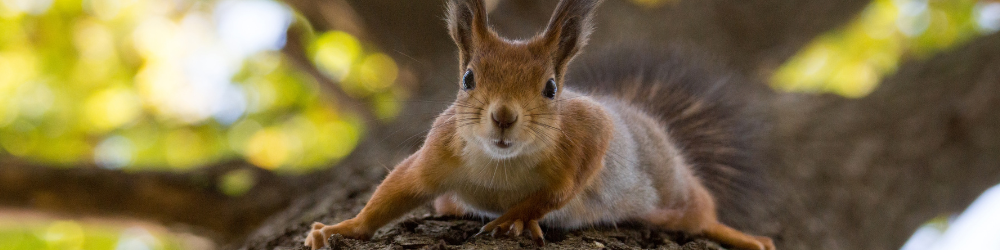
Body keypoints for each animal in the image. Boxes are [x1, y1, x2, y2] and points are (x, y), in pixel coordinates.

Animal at [304, 0, 772, 249]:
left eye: (550, 88)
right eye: (467, 78)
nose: (504, 116)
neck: (500, 166)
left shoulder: (590, 131)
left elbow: (559, 191)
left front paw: (516, 216)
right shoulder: (437, 152)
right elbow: (394, 192)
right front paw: (338, 229)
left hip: (676, 192)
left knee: (704, 213)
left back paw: (746, 237)